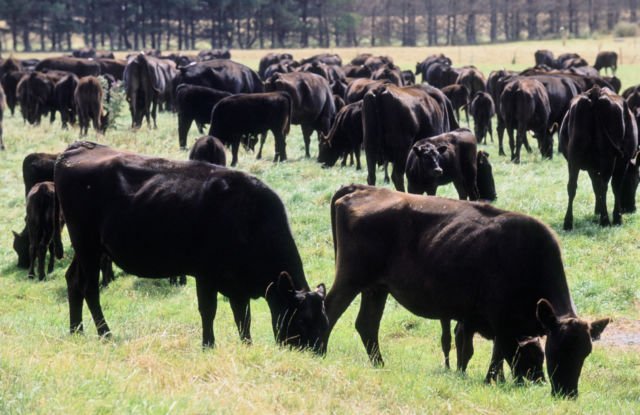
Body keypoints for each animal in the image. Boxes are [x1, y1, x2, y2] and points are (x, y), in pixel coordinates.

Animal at [55, 141, 330, 352]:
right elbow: (209, 311)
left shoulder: (237, 285)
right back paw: (105, 333)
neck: (249, 217)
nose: (317, 354)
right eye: (302, 321)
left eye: (326, 323)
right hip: (86, 243)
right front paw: (208, 345)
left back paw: (76, 330)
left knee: (73, 280)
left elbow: (243, 318)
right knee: (89, 288)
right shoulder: (206, 274)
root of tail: (77, 149)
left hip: (88, 248)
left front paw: (247, 346)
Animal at [324, 185, 608, 400]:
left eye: (585, 352)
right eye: (555, 349)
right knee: (331, 309)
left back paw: (380, 365)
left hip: (376, 289)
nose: (568, 393)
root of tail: (363, 189)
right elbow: (495, 355)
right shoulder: (499, 323)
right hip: (350, 281)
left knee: (367, 325)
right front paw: (489, 380)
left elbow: (482, 352)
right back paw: (320, 350)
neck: (527, 257)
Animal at [556, 85, 636, 231]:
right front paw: (617, 217)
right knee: (604, 186)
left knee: (572, 186)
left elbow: (595, 185)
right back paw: (605, 221)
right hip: (608, 159)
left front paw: (597, 210)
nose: (632, 208)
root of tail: (596, 93)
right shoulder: (623, 163)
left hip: (574, 158)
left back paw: (568, 223)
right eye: (637, 179)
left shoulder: (591, 167)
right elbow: (615, 186)